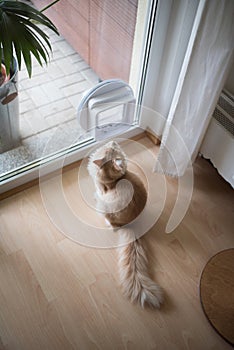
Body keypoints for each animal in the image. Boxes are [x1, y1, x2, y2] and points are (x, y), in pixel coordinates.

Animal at [87, 141, 163, 308]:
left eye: (113, 149)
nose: (113, 141)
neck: (113, 180)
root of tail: (132, 225)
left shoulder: (101, 190)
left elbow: (98, 191)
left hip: (104, 207)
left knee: (112, 226)